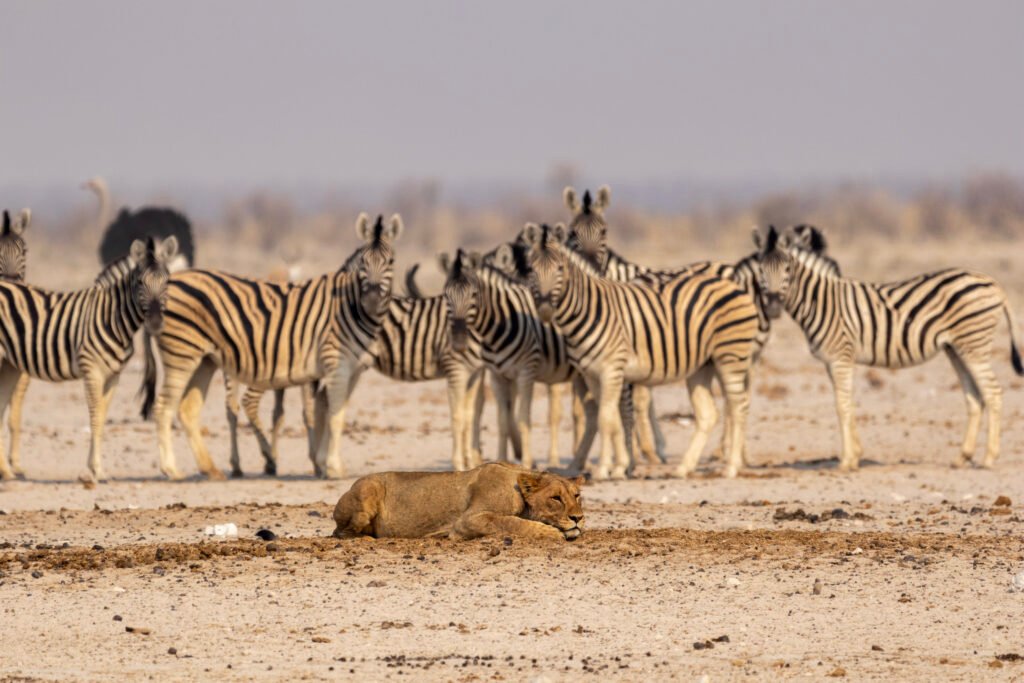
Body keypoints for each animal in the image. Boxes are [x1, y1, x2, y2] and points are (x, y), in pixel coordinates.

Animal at [0, 236, 177, 481]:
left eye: (167, 281)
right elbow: (94, 416)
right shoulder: (91, 369)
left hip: (9, 365)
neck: (113, 318)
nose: (155, 323)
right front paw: (96, 470)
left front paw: (95, 468)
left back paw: (6, 472)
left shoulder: (113, 375)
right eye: (140, 282)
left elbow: (102, 418)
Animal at [140, 214, 401, 480]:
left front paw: (325, 464)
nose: (371, 299)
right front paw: (333, 468)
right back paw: (172, 469)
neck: (349, 306)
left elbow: (329, 412)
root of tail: (166, 285)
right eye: (363, 263)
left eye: (391, 262)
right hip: (181, 354)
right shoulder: (335, 366)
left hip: (205, 360)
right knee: (163, 407)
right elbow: (333, 415)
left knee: (188, 409)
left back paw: (211, 469)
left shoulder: (352, 370)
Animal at [441, 246, 597, 470]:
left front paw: (526, 463)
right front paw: (500, 461)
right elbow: (503, 421)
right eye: (446, 296)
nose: (459, 340)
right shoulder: (498, 376)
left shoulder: (526, 372)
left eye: (474, 294)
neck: (497, 326)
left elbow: (524, 419)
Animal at [521, 223, 760, 480]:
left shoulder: (611, 369)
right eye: (530, 270)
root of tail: (734, 285)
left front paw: (604, 469)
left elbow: (605, 419)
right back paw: (684, 468)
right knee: (708, 414)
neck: (589, 309)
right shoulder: (592, 374)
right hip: (703, 365)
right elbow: (612, 419)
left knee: (739, 406)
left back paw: (731, 466)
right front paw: (618, 466)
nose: (545, 309)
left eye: (560, 268)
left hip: (730, 356)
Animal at [756, 224, 1024, 470]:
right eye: (761, 270)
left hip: (974, 345)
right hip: (956, 348)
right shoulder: (833, 362)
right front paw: (855, 456)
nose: (773, 307)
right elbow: (847, 402)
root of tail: (993, 282)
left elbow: (841, 406)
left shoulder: (840, 357)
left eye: (788, 269)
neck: (820, 301)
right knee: (975, 397)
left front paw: (846, 462)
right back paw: (962, 458)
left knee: (993, 392)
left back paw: (989, 458)